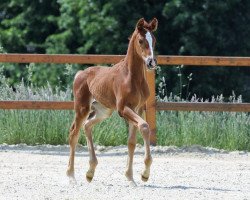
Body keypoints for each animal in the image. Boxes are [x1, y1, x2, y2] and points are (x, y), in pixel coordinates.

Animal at [67, 18, 158, 184]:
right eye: (141, 40)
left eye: (153, 40)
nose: (151, 62)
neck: (132, 77)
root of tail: (80, 73)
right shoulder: (123, 109)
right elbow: (144, 126)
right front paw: (144, 174)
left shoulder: (137, 108)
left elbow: (132, 141)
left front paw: (130, 177)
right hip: (82, 108)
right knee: (74, 134)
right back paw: (71, 176)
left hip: (104, 111)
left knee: (87, 126)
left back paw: (90, 172)